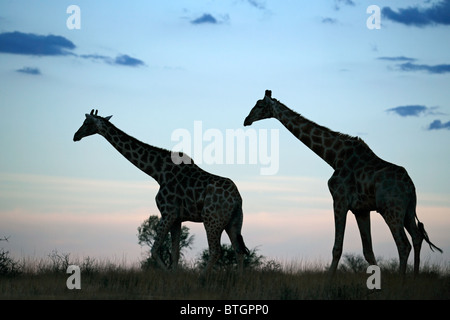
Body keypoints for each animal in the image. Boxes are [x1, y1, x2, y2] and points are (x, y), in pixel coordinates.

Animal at [74, 109, 250, 272]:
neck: (157, 172)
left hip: (211, 220)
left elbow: (154, 250)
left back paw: (202, 278)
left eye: (86, 123)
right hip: (234, 222)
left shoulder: (168, 213)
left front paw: (167, 274)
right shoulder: (178, 218)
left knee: (216, 251)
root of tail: (237, 199)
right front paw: (174, 276)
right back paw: (239, 278)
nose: (76, 136)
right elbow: (175, 253)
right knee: (239, 250)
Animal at [244, 90, 442, 278]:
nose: (246, 120)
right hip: (408, 210)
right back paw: (414, 278)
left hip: (391, 210)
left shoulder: (339, 200)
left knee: (403, 244)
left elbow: (337, 248)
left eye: (260, 105)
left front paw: (327, 283)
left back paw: (402, 282)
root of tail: (410, 187)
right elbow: (368, 252)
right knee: (417, 237)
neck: (334, 157)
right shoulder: (361, 210)